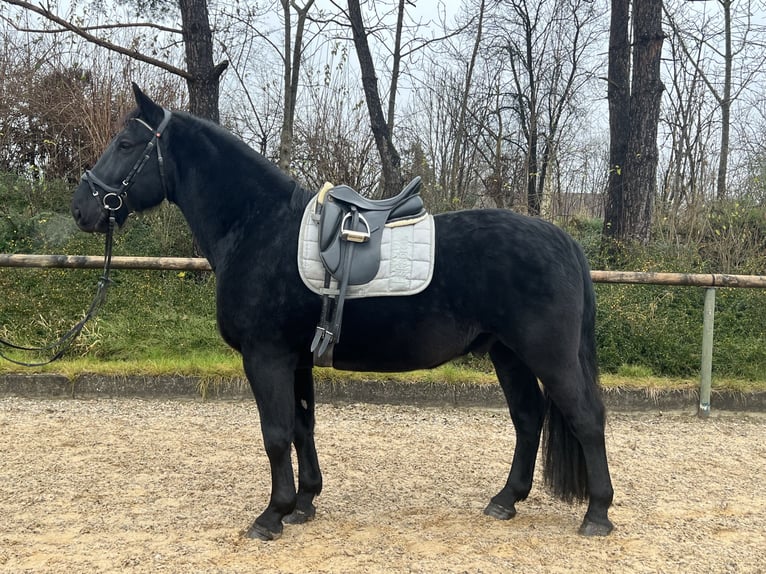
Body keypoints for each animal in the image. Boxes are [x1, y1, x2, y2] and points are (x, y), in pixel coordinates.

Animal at [69, 84, 616, 540]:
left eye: (125, 144)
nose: (82, 209)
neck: (257, 226)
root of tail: (562, 240)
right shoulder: (296, 358)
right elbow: (302, 426)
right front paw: (304, 503)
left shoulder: (265, 355)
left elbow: (275, 434)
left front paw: (272, 515)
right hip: (508, 354)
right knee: (528, 418)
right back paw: (506, 500)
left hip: (547, 355)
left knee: (586, 418)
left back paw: (597, 514)